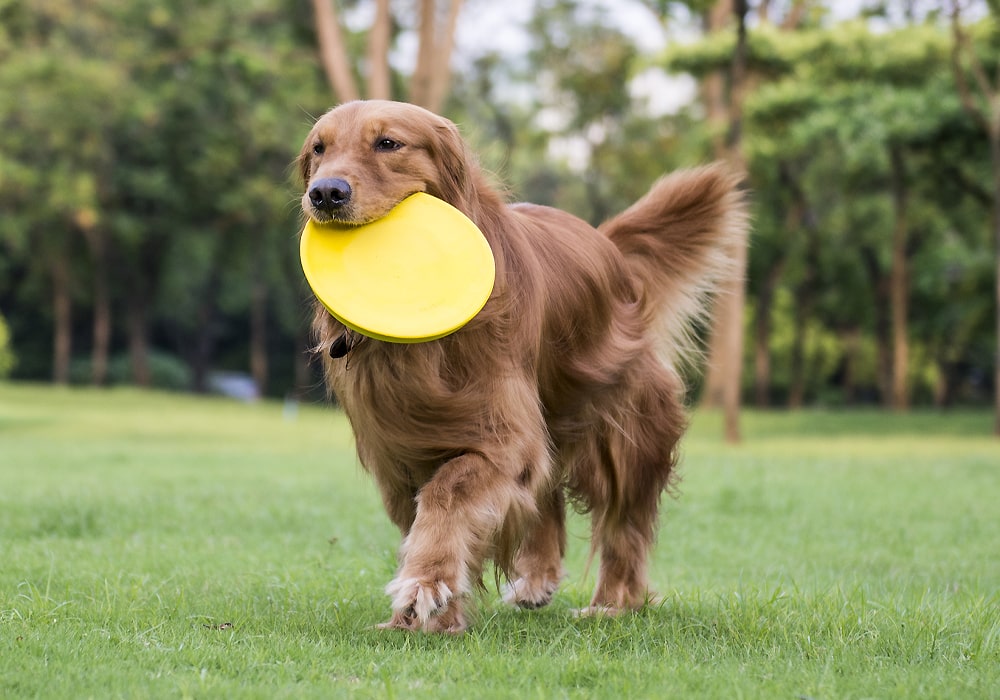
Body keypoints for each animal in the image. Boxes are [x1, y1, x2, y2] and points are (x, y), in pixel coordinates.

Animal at [298, 100, 752, 636]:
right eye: (318, 149)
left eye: (388, 143)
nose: (325, 192)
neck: (422, 350)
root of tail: (609, 246)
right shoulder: (398, 453)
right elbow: (428, 517)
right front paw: (429, 613)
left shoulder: (504, 433)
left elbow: (448, 492)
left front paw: (426, 584)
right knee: (548, 495)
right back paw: (537, 580)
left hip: (623, 432)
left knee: (624, 524)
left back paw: (613, 602)